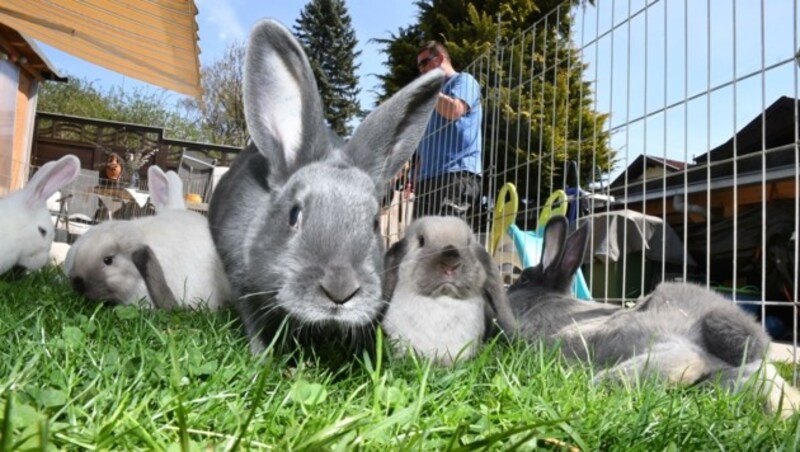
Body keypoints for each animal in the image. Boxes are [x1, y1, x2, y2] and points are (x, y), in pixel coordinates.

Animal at [206, 18, 444, 356]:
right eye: (293, 215)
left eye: (374, 224)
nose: (340, 291)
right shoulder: (241, 281)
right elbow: (255, 324)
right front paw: (262, 357)